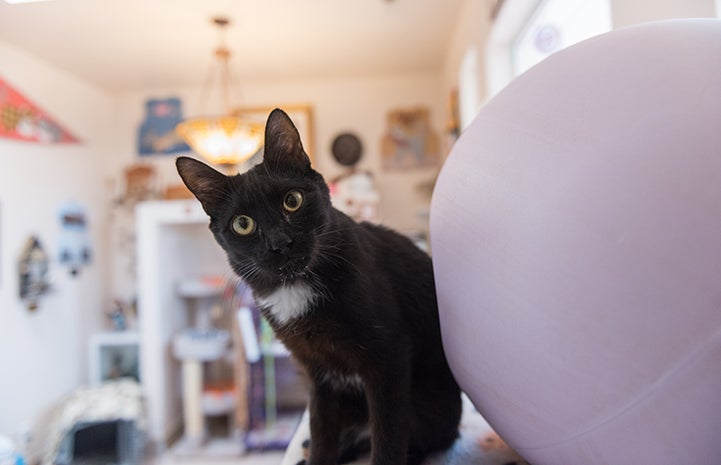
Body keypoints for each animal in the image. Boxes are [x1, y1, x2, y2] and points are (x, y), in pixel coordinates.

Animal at [179, 109, 462, 464]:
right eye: (243, 224)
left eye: (292, 201)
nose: (279, 243)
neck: (296, 287)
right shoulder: (318, 375)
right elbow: (321, 430)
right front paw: (318, 453)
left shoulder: (389, 358)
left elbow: (388, 435)